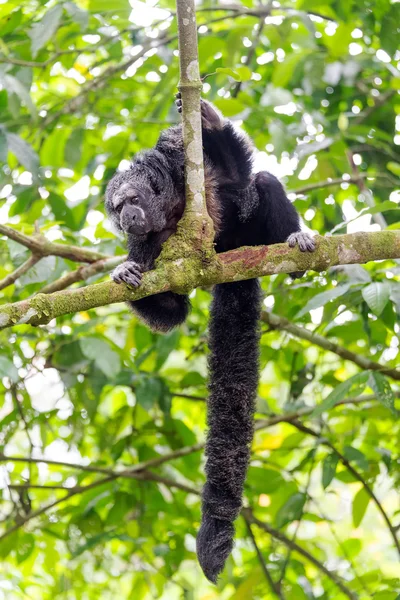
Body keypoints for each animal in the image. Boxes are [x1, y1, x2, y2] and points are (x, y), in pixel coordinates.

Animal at [105, 96, 316, 584]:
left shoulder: (185, 169)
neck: (171, 209)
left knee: (262, 183)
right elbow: (171, 311)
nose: (126, 215)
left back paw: (292, 240)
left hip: (252, 234)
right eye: (117, 207)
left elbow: (236, 171)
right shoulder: (146, 246)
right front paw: (123, 272)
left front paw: (207, 118)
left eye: (133, 200)